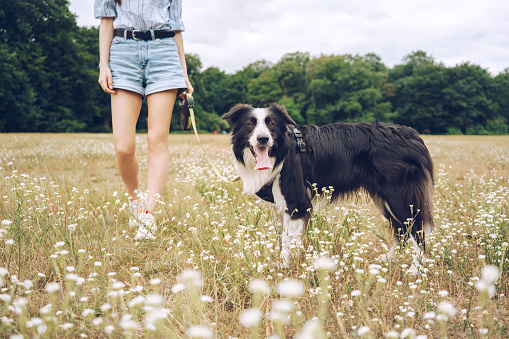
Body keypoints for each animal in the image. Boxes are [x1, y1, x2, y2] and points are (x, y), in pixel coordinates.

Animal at [222, 104, 432, 274]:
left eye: (271, 124)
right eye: (250, 124)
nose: (263, 139)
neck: (281, 151)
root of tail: (413, 135)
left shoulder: (297, 202)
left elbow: (288, 242)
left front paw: (285, 267)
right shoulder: (281, 205)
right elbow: (283, 238)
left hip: (398, 196)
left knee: (416, 230)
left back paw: (416, 269)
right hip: (383, 197)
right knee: (401, 229)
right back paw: (389, 259)